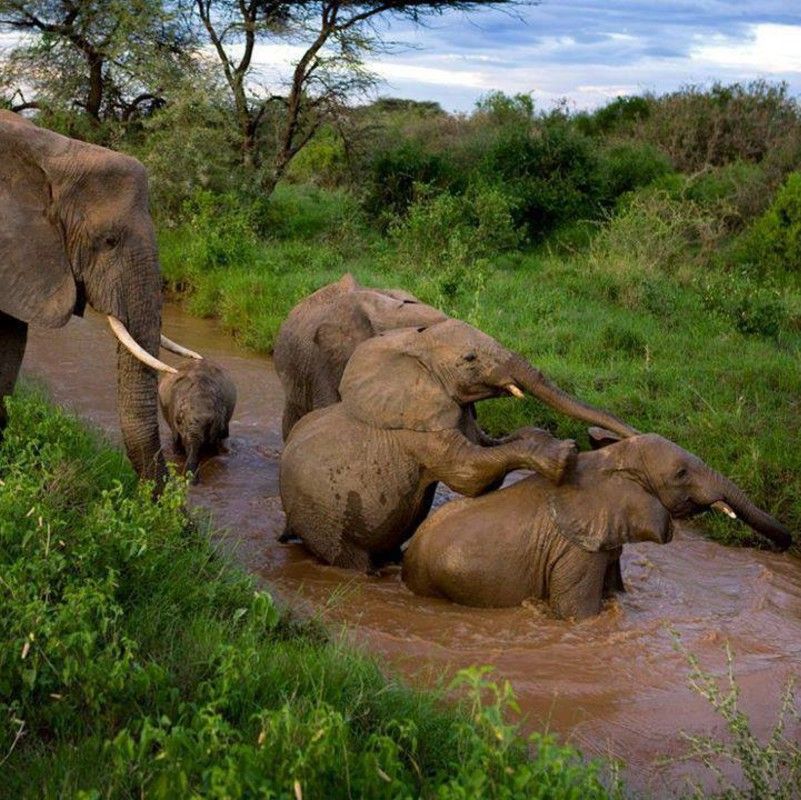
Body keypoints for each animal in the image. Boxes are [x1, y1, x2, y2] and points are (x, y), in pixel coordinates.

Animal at [280, 319, 640, 571]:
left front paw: (540, 436)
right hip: (323, 518)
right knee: (349, 559)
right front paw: (563, 455)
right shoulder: (420, 431)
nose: (633, 435)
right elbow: (469, 474)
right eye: (469, 358)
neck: (415, 345)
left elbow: (489, 450)